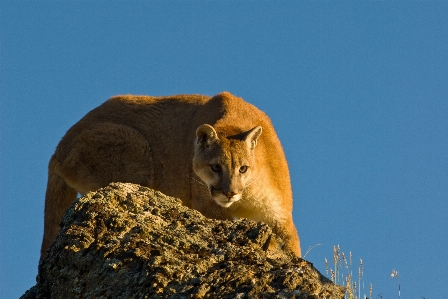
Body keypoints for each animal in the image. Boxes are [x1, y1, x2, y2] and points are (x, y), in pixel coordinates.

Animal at [42, 91, 300, 260]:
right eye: (216, 167)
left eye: (243, 168)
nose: (229, 192)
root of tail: (58, 149)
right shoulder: (207, 204)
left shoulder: (279, 214)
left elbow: (293, 244)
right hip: (137, 155)